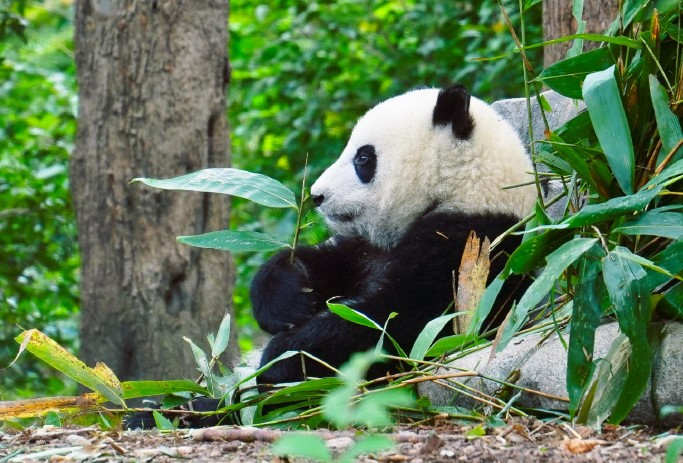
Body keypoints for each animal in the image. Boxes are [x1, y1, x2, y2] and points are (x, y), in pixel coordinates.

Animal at [252, 84, 536, 385]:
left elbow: (400, 322)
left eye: (363, 157)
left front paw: (282, 358)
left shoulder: (474, 243)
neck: (466, 186)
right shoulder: (365, 247)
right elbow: (325, 264)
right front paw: (290, 299)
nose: (317, 195)